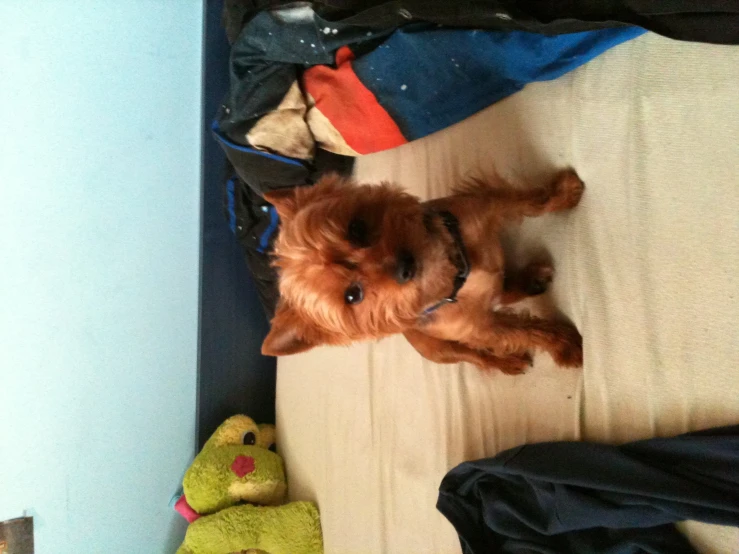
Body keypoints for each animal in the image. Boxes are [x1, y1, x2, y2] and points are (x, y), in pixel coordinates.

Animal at [260, 170, 584, 374]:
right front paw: (568, 346)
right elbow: (530, 332)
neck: (455, 273)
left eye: (356, 229)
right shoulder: (485, 329)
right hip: (442, 352)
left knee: (503, 291)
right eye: (353, 296)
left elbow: (528, 201)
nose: (405, 267)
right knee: (476, 355)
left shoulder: (485, 203)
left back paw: (530, 280)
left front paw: (564, 193)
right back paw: (507, 363)